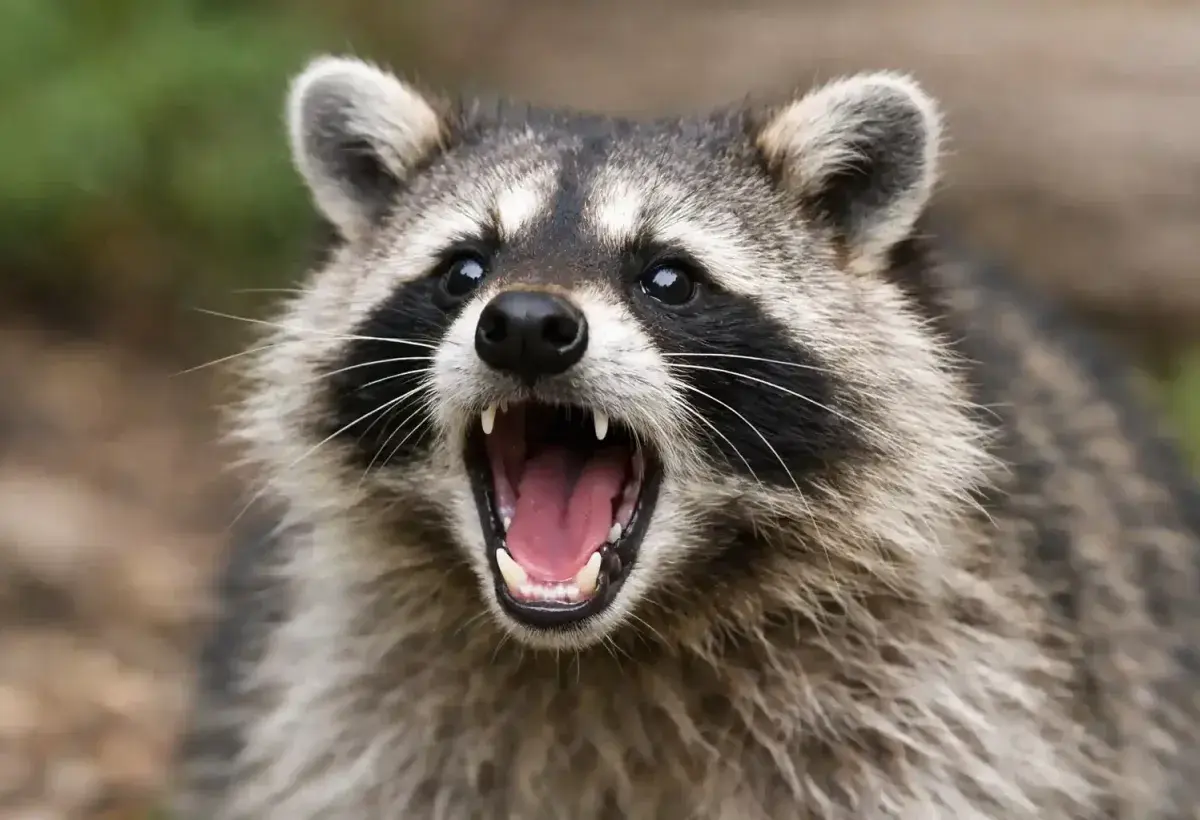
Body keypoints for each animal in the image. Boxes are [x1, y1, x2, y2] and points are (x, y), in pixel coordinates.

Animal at [174, 55, 1200, 819]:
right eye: (464, 268)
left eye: (667, 279)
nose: (527, 325)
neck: (604, 645)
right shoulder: (343, 718)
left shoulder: (951, 709)